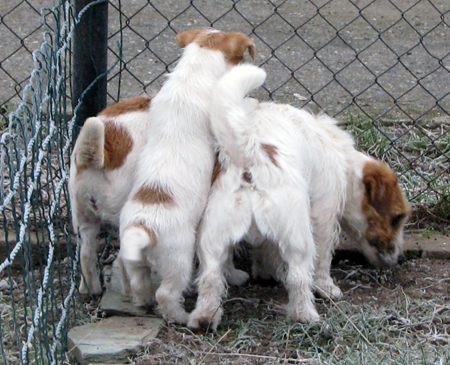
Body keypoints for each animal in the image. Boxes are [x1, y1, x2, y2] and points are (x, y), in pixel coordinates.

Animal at [187, 64, 412, 332]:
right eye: (396, 218)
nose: (400, 258)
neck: (343, 160)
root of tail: (250, 154)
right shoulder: (324, 217)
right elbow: (323, 260)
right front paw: (326, 288)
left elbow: (266, 250)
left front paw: (266, 272)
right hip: (298, 237)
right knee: (299, 277)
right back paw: (305, 314)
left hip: (214, 237)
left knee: (211, 277)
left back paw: (204, 317)